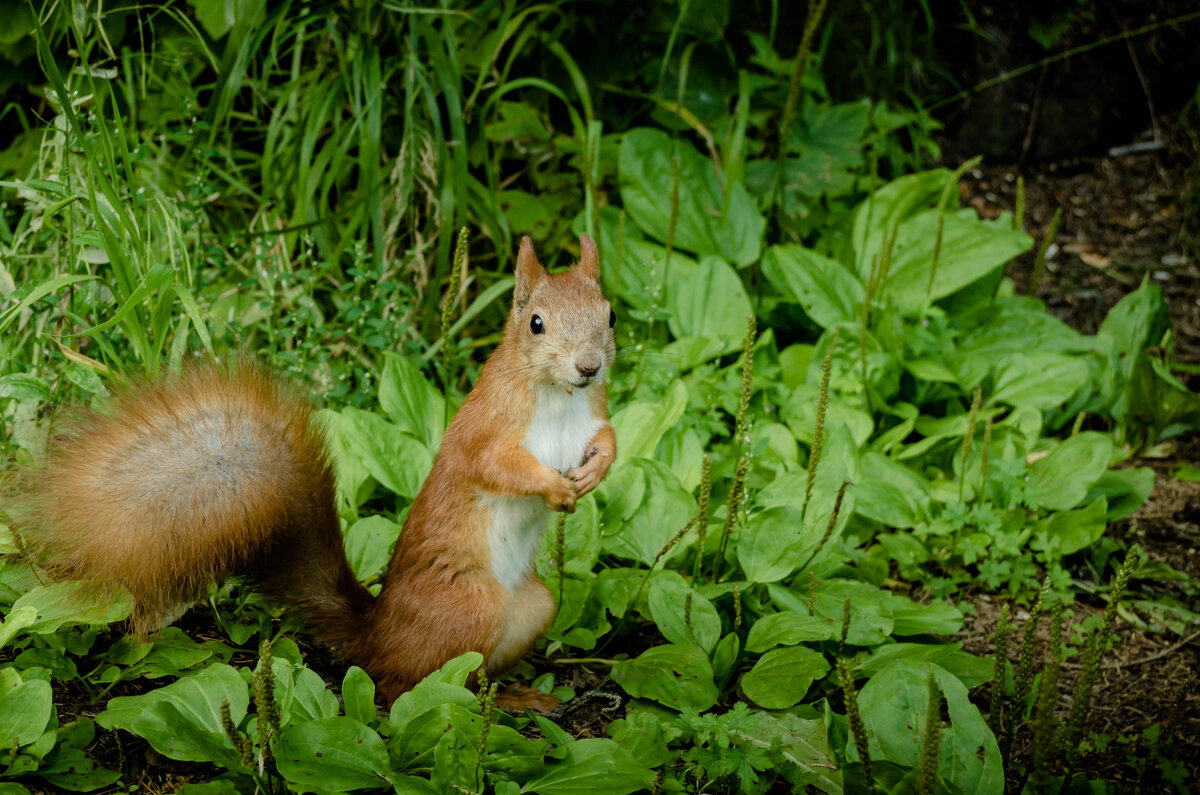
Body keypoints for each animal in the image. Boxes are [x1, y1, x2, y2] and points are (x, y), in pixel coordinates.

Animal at [11, 236, 619, 706]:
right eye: (536, 323)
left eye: (610, 315)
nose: (589, 366)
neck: (559, 397)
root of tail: (375, 635)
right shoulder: (483, 432)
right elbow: (496, 466)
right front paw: (553, 486)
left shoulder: (593, 417)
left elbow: (608, 441)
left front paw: (594, 475)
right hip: (472, 607)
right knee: (407, 688)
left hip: (534, 606)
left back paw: (517, 697)